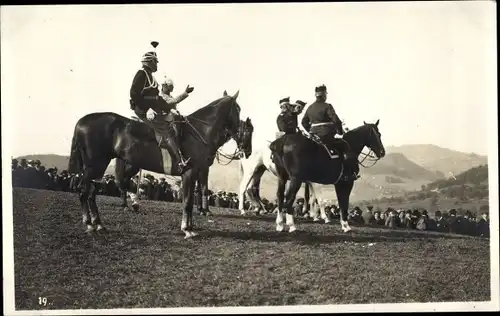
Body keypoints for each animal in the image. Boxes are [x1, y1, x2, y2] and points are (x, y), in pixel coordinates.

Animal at [68, 90, 252, 238]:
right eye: (238, 109)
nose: (248, 151)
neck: (199, 131)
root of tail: (82, 122)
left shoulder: (195, 173)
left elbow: (192, 198)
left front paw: (191, 224)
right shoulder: (190, 173)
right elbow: (188, 200)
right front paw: (187, 229)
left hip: (98, 167)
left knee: (92, 191)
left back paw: (99, 223)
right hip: (96, 166)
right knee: (85, 190)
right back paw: (91, 223)